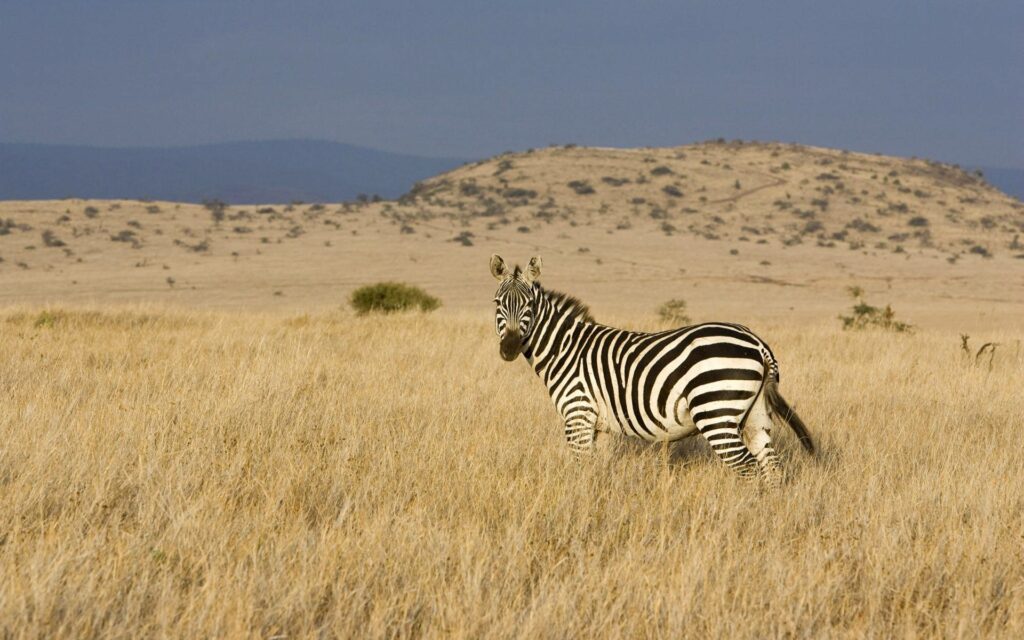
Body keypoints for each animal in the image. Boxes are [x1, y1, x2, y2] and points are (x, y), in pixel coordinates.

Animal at [489, 254, 814, 483]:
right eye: (497, 303)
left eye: (529, 305)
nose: (509, 348)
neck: (566, 349)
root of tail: (757, 342)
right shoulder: (600, 425)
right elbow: (597, 470)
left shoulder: (577, 415)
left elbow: (581, 469)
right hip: (755, 414)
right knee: (771, 466)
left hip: (716, 411)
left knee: (746, 467)